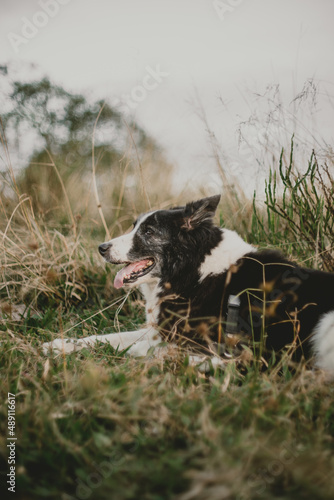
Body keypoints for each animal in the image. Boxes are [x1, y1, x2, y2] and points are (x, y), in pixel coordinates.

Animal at [41, 195, 334, 376]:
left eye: (148, 232)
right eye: (134, 226)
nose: (102, 248)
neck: (194, 270)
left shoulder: (192, 337)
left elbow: (131, 347)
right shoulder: (162, 331)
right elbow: (107, 338)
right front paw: (61, 345)